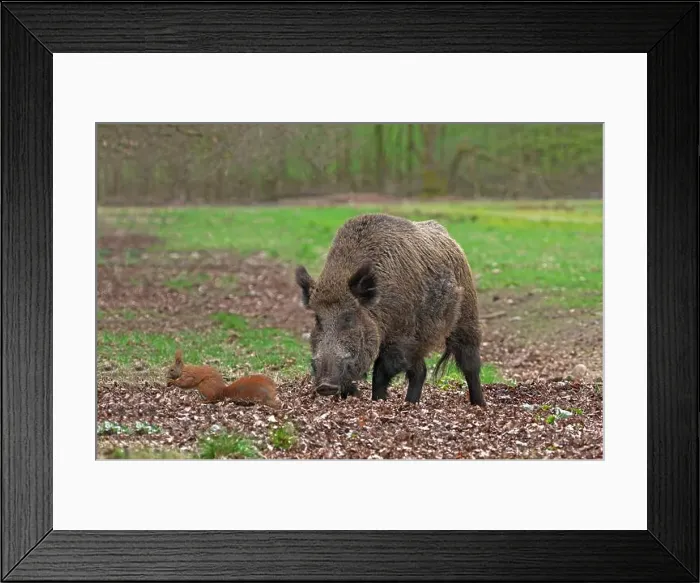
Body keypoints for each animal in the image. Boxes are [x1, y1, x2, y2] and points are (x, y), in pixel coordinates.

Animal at [294, 213, 485, 406]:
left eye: (348, 318)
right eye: (317, 319)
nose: (325, 386)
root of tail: (451, 240)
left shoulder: (401, 336)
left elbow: (381, 372)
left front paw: (378, 400)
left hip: (466, 315)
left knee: (470, 362)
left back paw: (479, 404)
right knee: (420, 371)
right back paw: (410, 404)